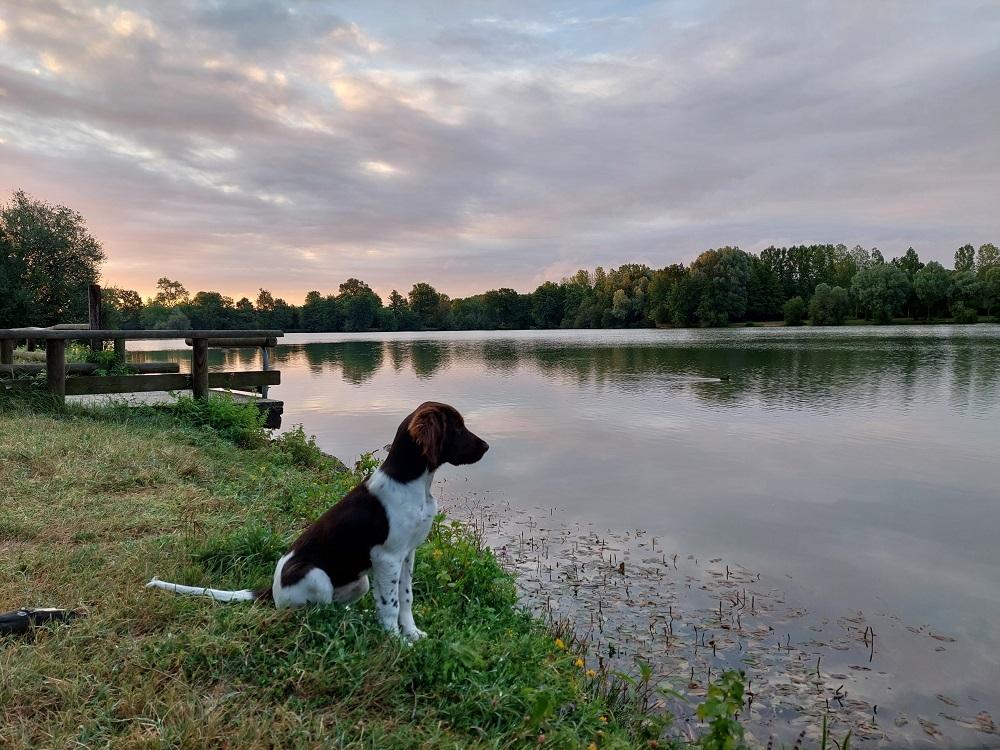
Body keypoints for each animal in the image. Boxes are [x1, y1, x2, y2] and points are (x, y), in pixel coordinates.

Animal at [147, 402, 488, 644]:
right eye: (457, 428)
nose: (486, 446)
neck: (413, 482)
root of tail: (270, 591)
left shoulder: (408, 554)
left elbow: (405, 598)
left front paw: (413, 634)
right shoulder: (387, 557)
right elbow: (390, 603)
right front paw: (395, 640)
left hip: (360, 581)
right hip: (316, 575)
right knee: (313, 613)